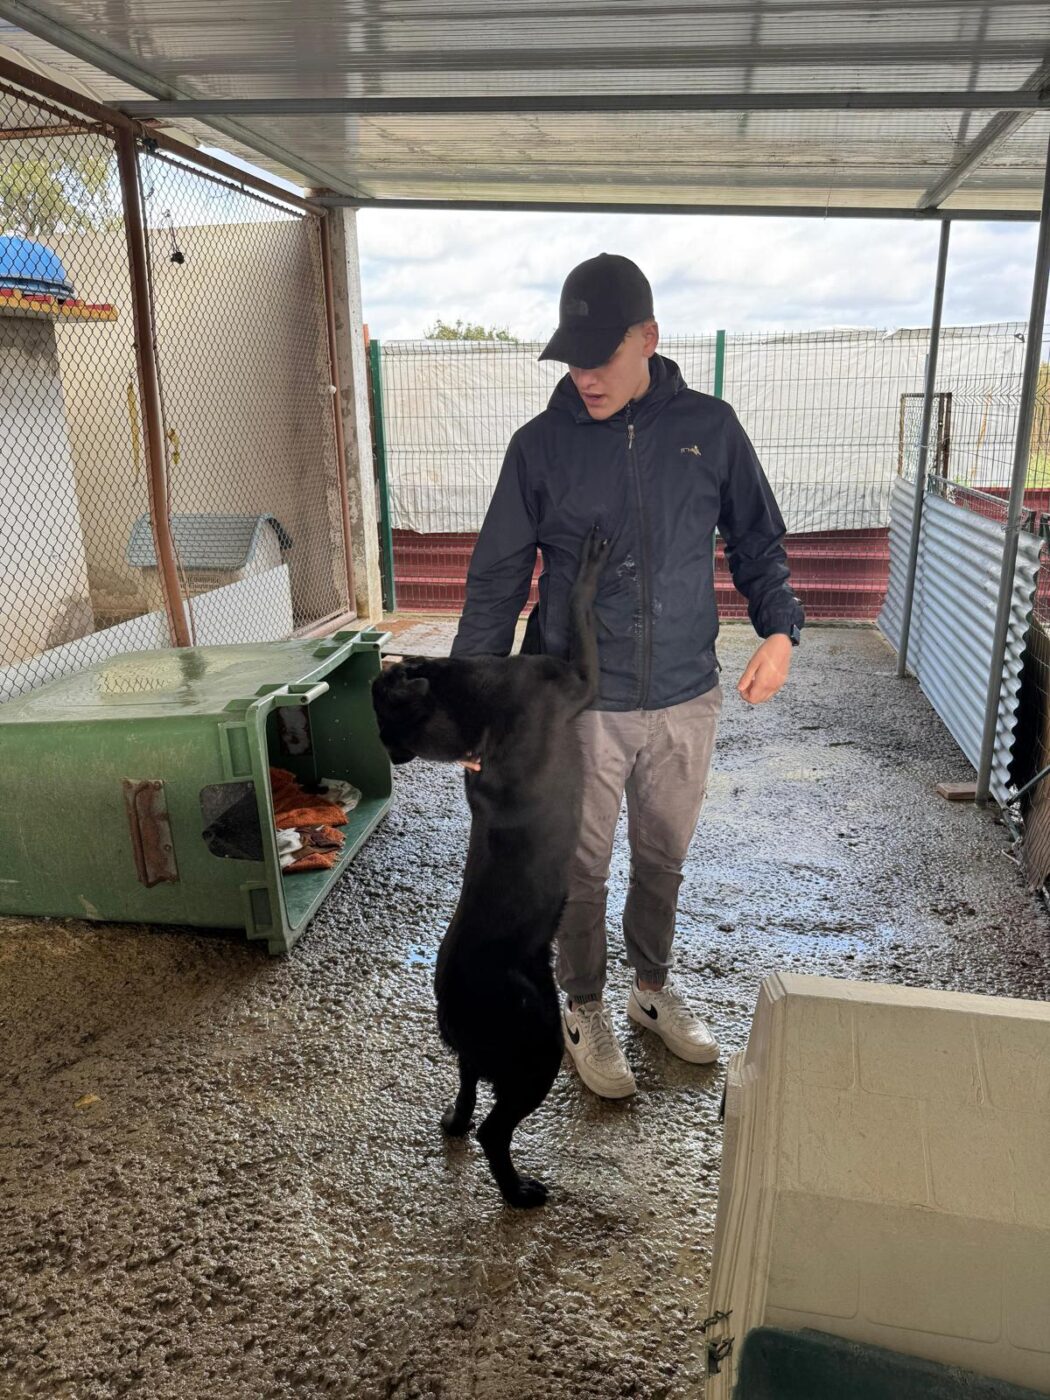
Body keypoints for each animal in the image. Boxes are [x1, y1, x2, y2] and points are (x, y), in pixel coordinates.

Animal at [371, 528, 609, 1206]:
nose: (393, 756)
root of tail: (453, 1008)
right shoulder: (578, 679)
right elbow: (575, 610)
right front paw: (579, 573)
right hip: (537, 1048)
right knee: (493, 1131)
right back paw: (519, 1191)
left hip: (491, 1049)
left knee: (467, 1084)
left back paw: (452, 1122)